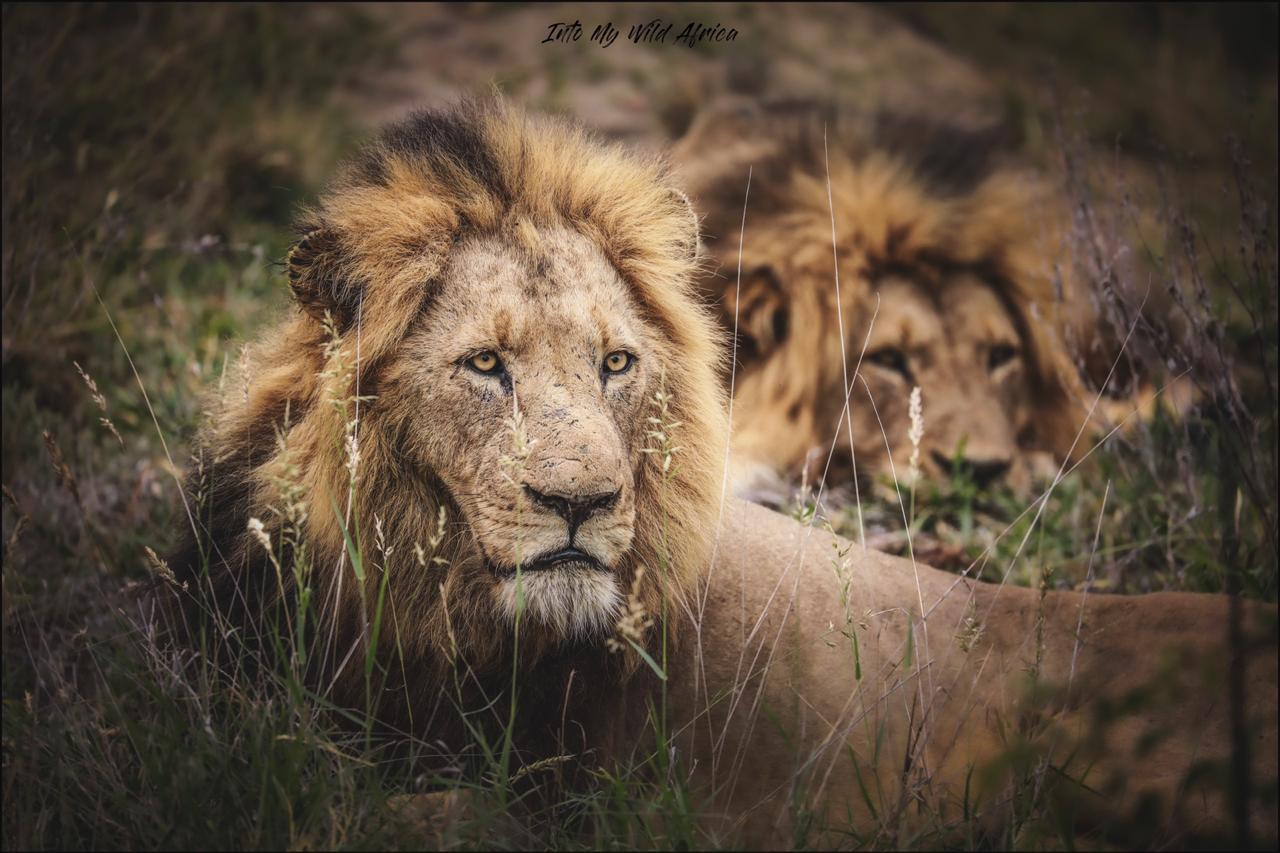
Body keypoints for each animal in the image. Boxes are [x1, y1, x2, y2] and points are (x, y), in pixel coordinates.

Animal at [172, 99, 1276, 846]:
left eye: (616, 364)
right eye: (484, 364)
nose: (581, 503)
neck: (419, 605)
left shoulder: (591, 808)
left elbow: (400, 810)